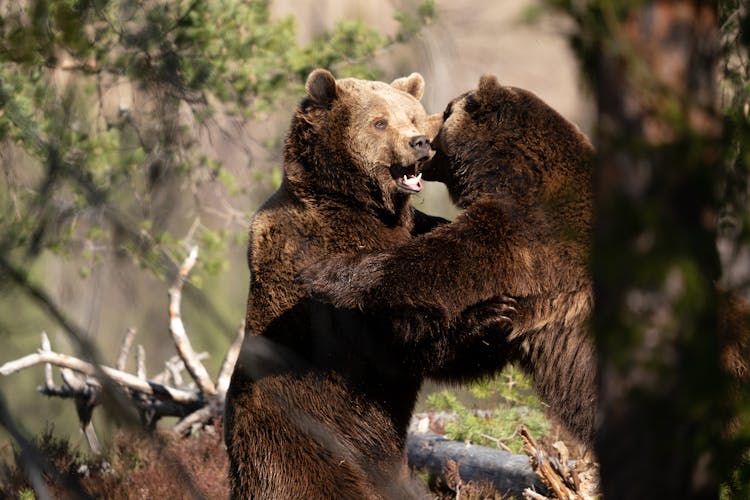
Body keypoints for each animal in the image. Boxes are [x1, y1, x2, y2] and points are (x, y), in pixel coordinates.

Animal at [223, 70, 456, 500]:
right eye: (379, 122)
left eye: (412, 116)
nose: (419, 142)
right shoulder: (312, 257)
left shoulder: (408, 229)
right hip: (310, 442)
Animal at [302, 75, 604, 446]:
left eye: (446, 111)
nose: (421, 136)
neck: (506, 170)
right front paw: (490, 314)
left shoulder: (533, 232)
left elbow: (446, 260)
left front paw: (326, 274)